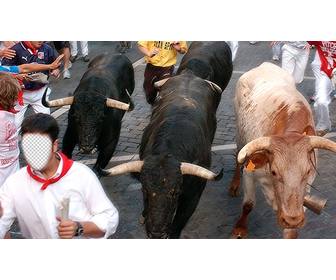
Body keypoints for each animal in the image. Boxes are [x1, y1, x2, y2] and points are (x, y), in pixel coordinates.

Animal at [231, 63, 336, 238]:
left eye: (308, 171)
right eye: (274, 171)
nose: (293, 219)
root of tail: (265, 65)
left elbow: (291, 231)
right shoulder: (249, 172)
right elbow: (248, 204)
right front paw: (239, 229)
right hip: (240, 133)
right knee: (237, 159)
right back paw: (234, 185)